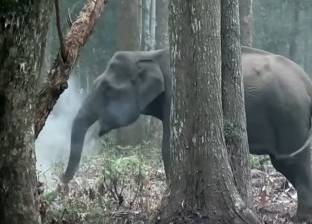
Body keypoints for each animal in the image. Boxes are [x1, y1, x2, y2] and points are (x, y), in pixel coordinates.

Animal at [61, 46, 312, 221]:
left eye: (106, 89)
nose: (61, 185)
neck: (149, 54)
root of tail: (307, 81)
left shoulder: (175, 96)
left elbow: (168, 148)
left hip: (290, 117)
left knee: (290, 161)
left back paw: (300, 218)